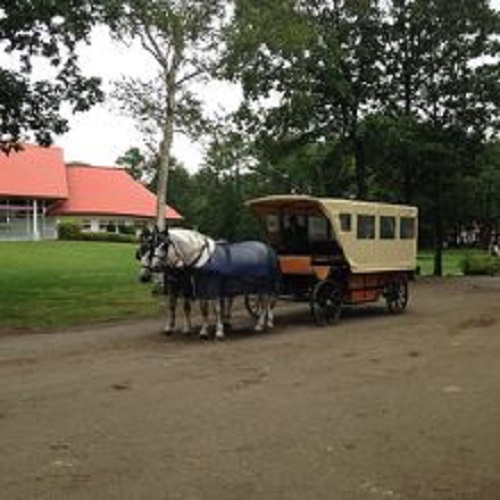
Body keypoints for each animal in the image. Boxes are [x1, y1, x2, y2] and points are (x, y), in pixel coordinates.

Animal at [150, 228, 280, 340]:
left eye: (164, 245)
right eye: (153, 245)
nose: (154, 267)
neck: (204, 259)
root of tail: (269, 249)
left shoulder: (215, 288)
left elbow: (217, 309)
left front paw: (219, 331)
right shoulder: (201, 288)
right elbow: (203, 309)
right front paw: (204, 331)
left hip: (266, 285)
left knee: (267, 303)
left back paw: (262, 324)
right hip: (260, 287)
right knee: (264, 303)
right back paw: (263, 323)